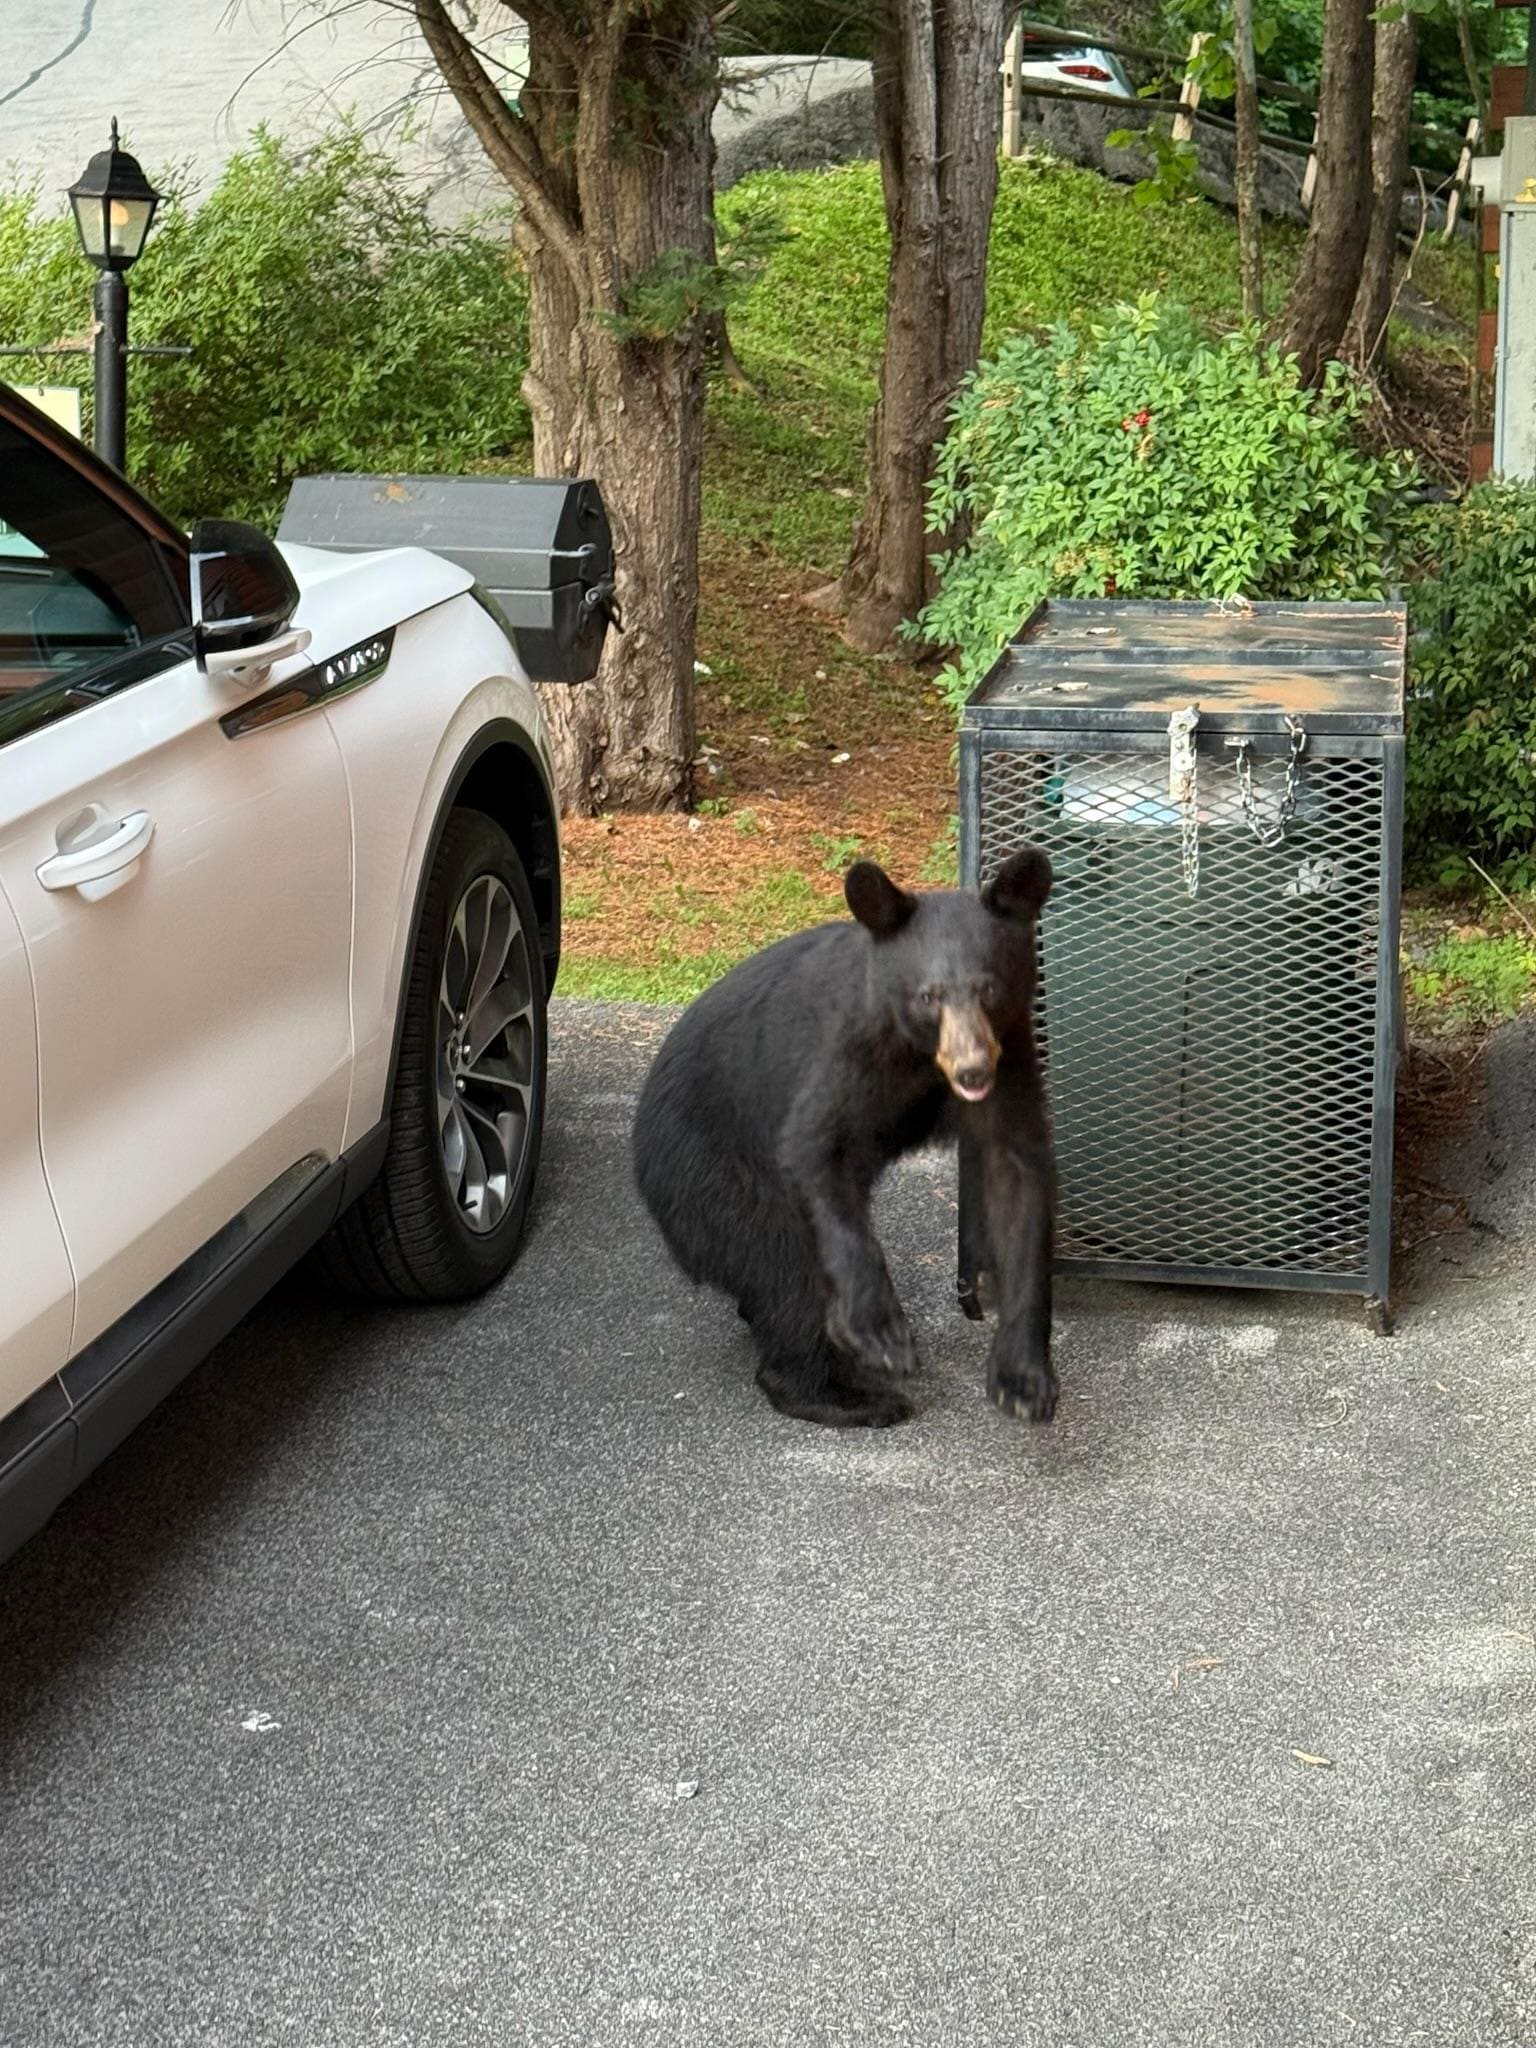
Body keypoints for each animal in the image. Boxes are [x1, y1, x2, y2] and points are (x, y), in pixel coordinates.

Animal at [631, 848, 1056, 1428]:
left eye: (989, 988)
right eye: (928, 996)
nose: (970, 1069)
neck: (918, 1057)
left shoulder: (1008, 1056)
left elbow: (1015, 1178)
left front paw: (1023, 1378)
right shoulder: (845, 1052)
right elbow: (815, 1146)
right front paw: (880, 1331)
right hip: (708, 1173)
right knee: (782, 1262)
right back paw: (847, 1394)